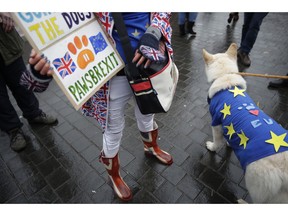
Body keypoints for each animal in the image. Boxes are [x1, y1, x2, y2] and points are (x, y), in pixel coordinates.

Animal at [202, 43, 288, 203]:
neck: (225, 76)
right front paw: (230, 143)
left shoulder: (216, 123)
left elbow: (217, 142)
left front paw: (213, 147)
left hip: (255, 185)